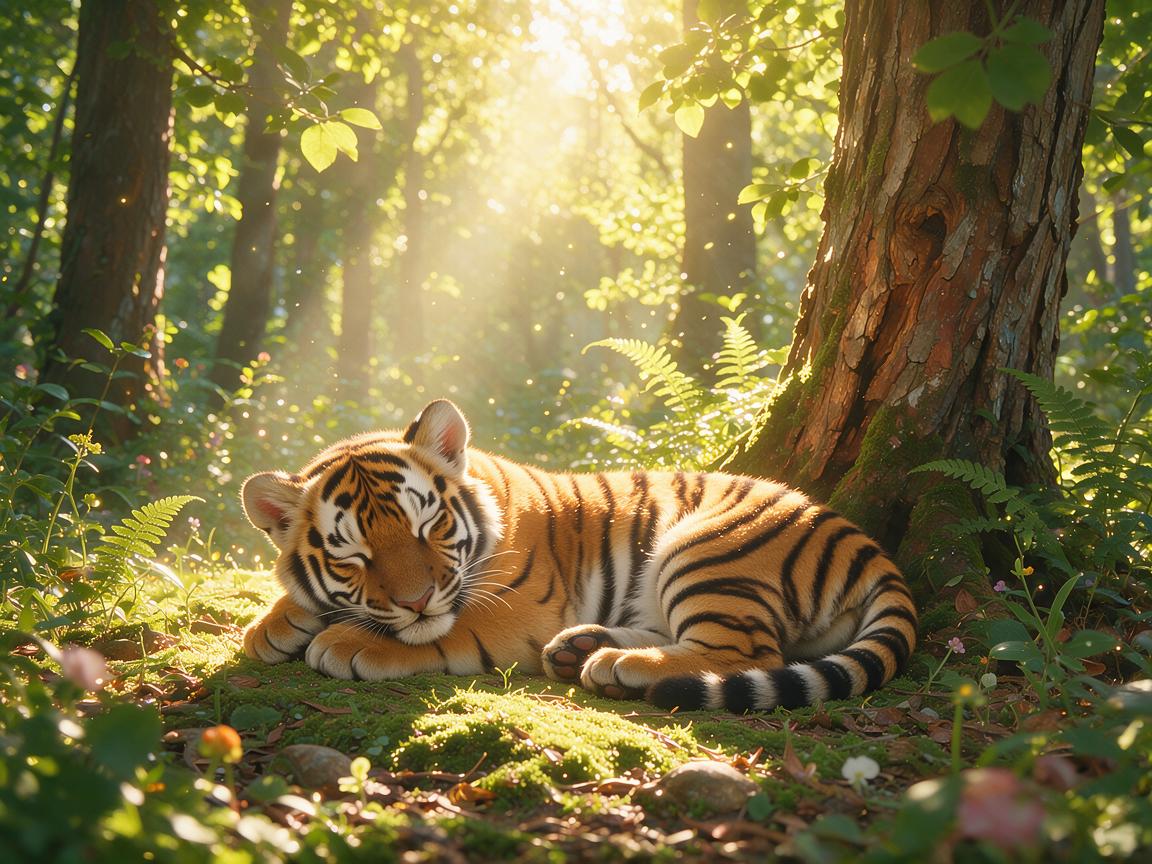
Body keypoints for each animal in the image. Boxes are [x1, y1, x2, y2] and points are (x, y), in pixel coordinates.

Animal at [240, 399, 917, 712]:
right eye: (353, 557)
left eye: (428, 525)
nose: (416, 600)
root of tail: (863, 541)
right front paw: (272, 626)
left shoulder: (518, 610)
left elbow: (447, 628)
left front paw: (348, 642)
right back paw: (583, 650)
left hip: (704, 547)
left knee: (746, 652)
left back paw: (618, 663)